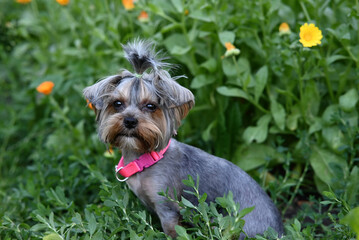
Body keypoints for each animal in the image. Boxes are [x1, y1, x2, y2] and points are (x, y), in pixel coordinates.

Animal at [83, 39, 284, 238]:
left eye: (151, 106)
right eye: (117, 104)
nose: (130, 120)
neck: (146, 158)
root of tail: (279, 231)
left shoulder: (167, 209)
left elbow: (172, 231)